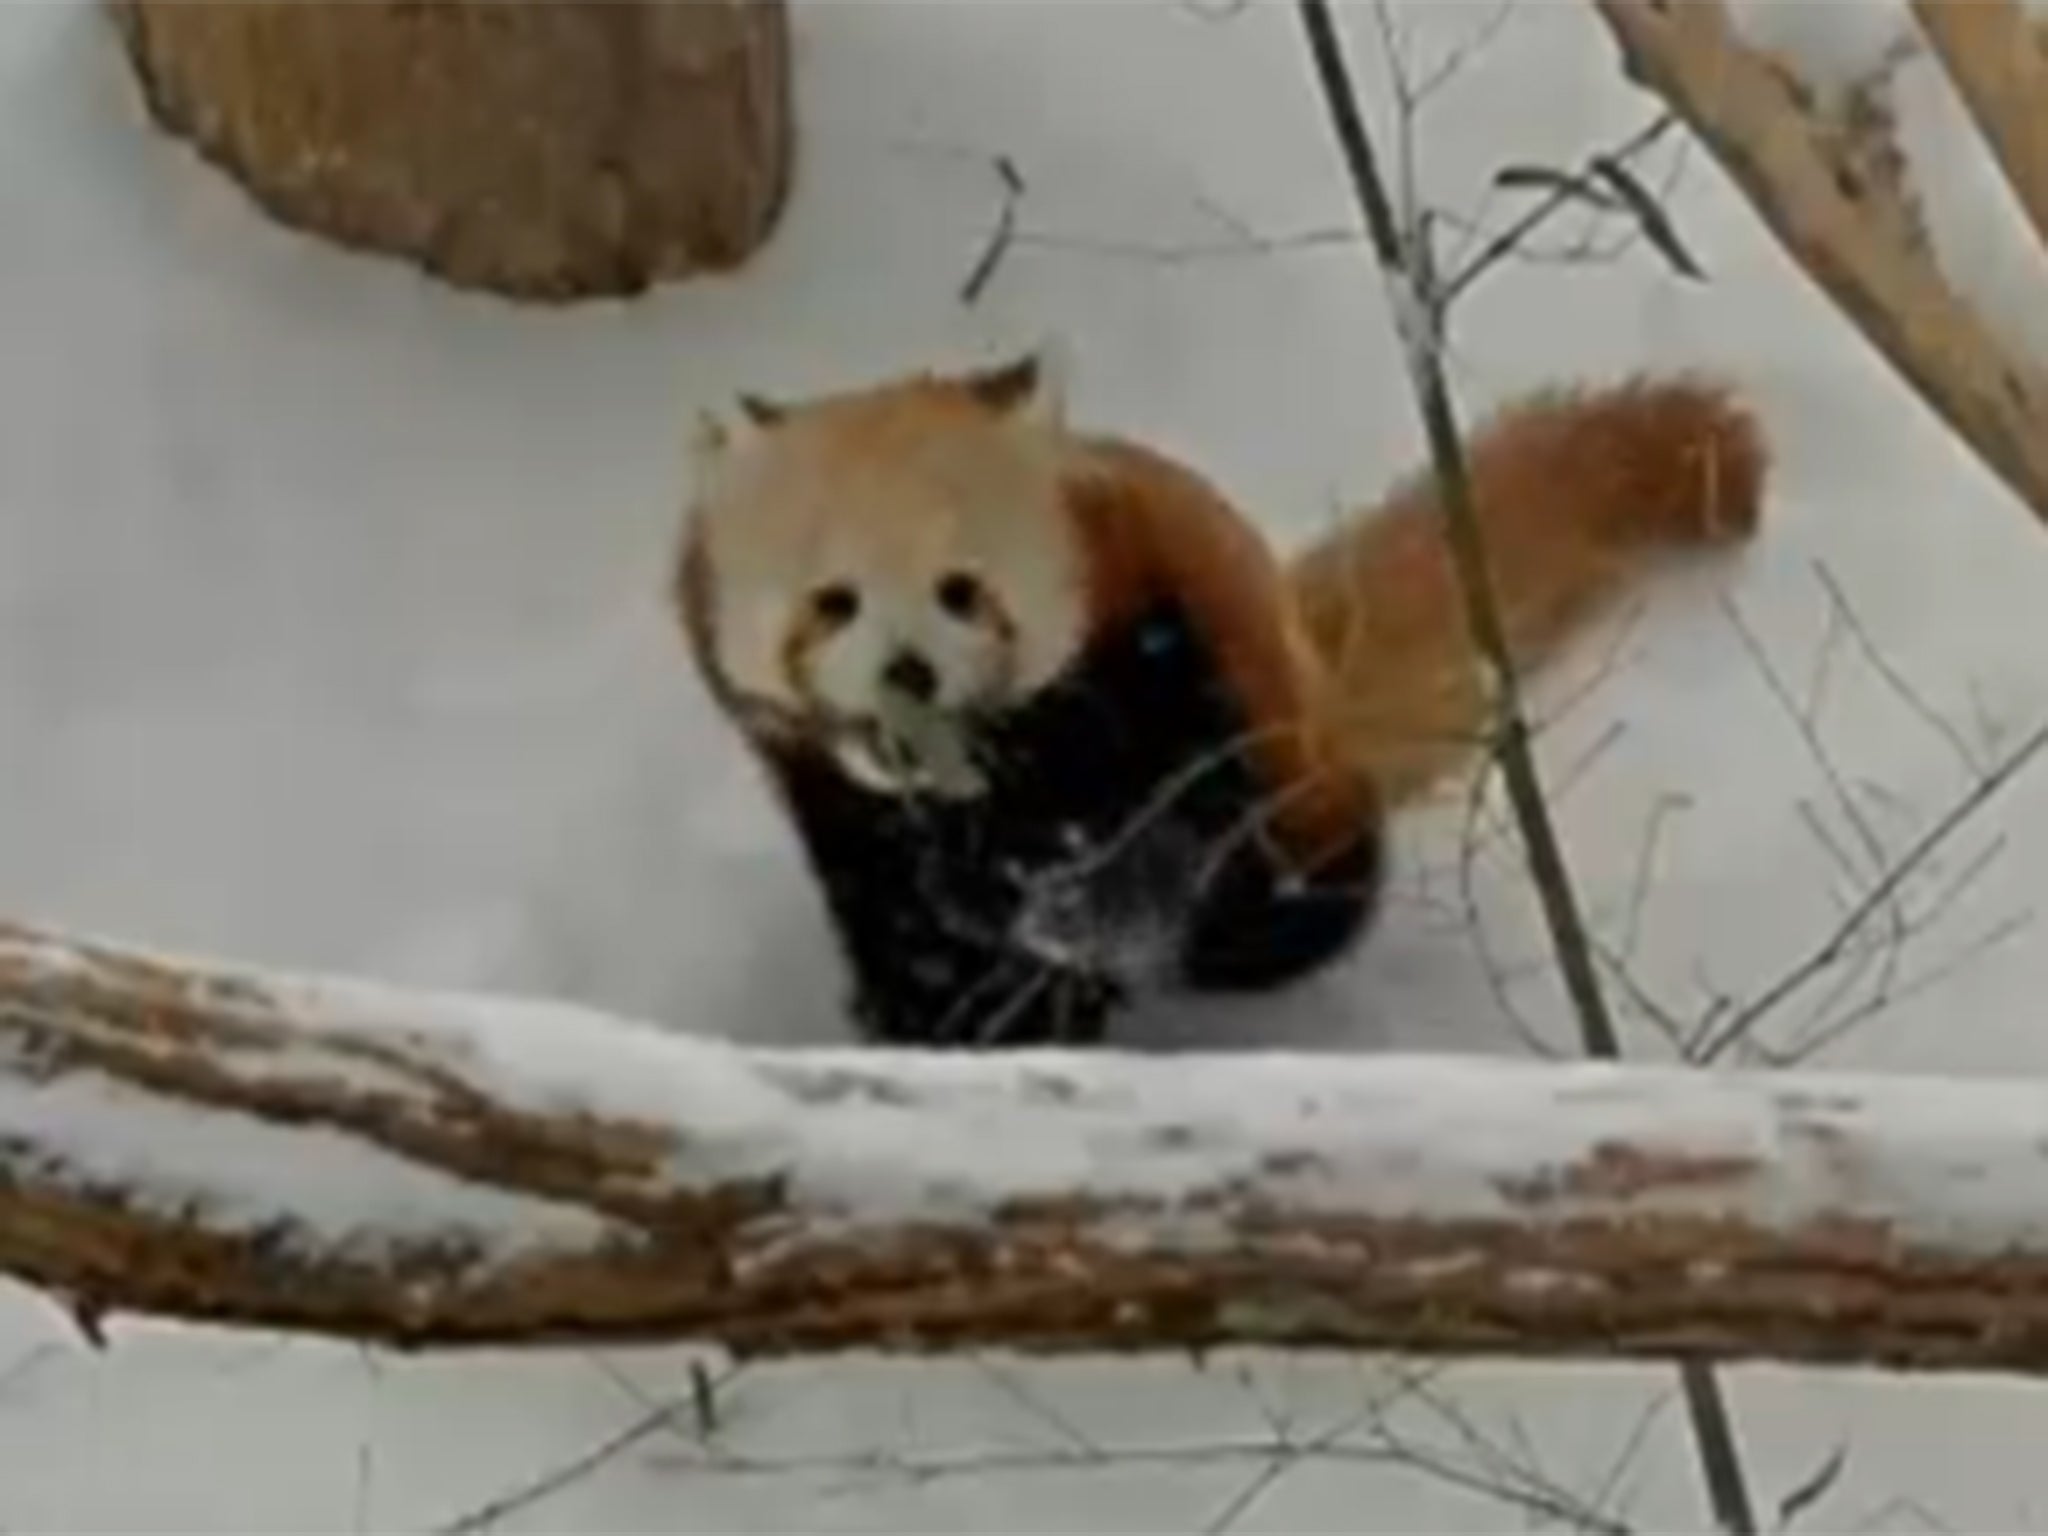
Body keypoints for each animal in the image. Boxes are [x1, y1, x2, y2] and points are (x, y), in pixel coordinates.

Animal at [671, 352, 1761, 1048]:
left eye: (961, 591)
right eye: (832, 603)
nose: (908, 675)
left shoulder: (1164, 662)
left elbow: (1169, 844)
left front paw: (1080, 919)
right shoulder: (829, 798)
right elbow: (899, 910)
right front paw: (950, 999)